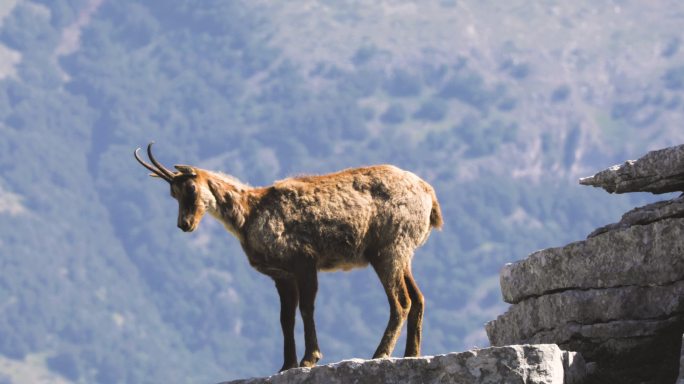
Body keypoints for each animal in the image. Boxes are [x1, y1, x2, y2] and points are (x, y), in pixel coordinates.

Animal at [135, 142, 444, 370]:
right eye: (172, 194)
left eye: (190, 187)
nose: (184, 224)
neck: (250, 212)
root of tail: (429, 194)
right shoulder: (281, 275)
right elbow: (285, 318)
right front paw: (286, 365)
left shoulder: (304, 262)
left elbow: (306, 308)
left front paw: (309, 358)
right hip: (402, 254)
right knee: (418, 297)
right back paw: (411, 354)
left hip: (387, 250)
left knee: (401, 301)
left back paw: (380, 354)